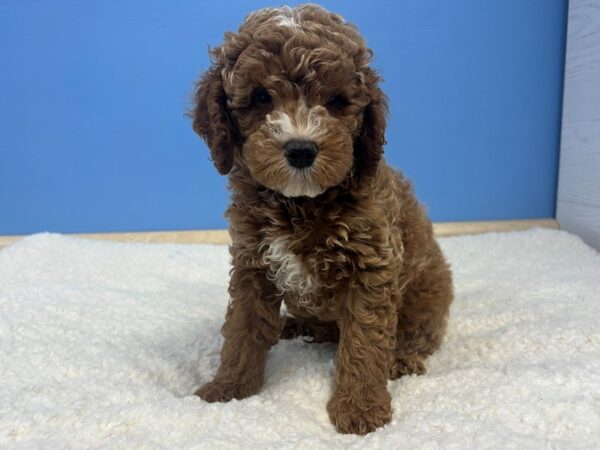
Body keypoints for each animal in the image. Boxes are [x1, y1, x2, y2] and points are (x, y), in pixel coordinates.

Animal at [190, 2, 452, 432]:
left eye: (336, 102)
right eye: (260, 97)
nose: (300, 149)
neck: (300, 203)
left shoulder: (372, 265)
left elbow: (364, 342)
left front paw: (360, 408)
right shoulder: (252, 262)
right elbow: (242, 328)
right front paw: (229, 387)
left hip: (429, 290)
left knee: (415, 334)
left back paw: (400, 359)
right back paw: (295, 326)